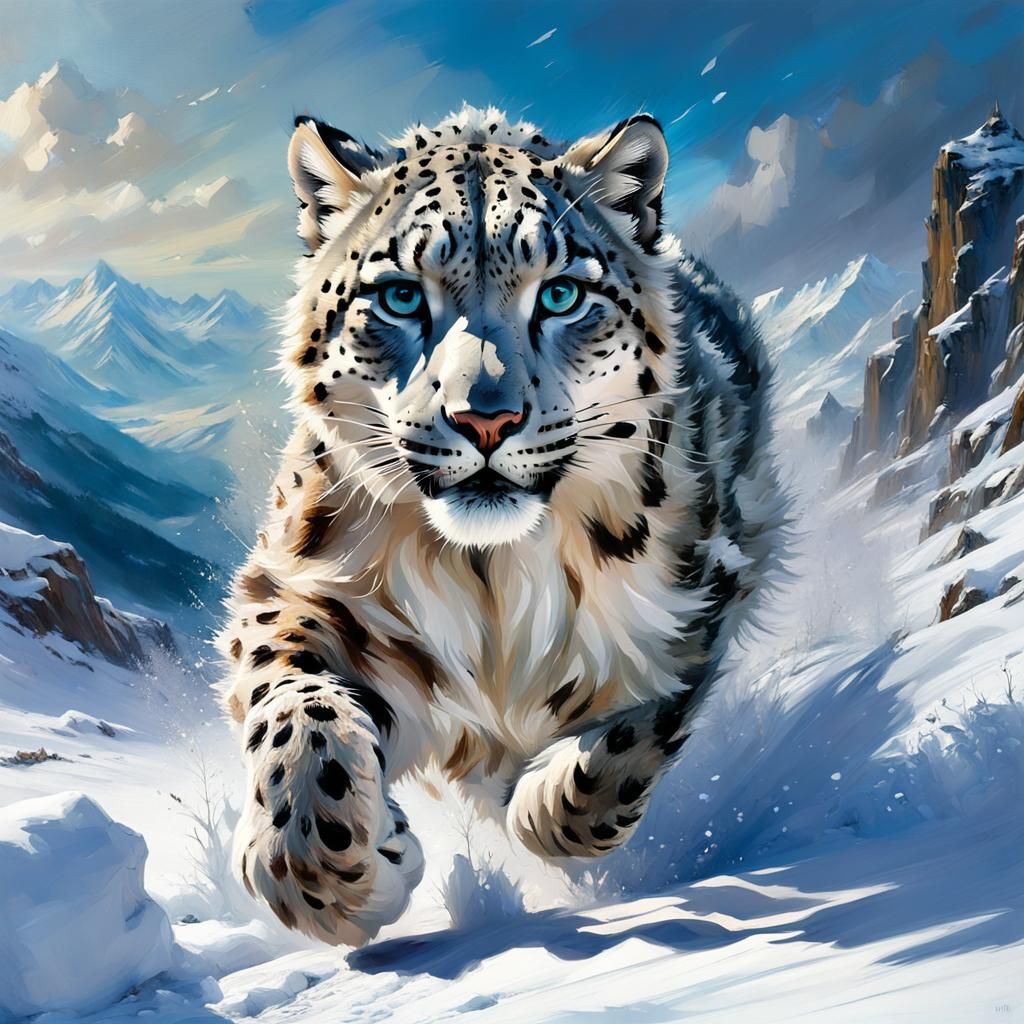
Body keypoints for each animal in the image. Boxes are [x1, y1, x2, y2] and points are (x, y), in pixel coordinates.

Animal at [217, 104, 786, 947]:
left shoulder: (695, 597)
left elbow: (633, 734)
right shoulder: (298, 589)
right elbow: (295, 710)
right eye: (399, 296)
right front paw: (327, 873)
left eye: (560, 294)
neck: (490, 581)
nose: (485, 417)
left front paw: (544, 808)